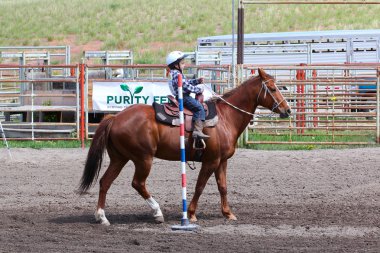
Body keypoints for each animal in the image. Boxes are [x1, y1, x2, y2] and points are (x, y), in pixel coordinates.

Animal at [78, 67, 290, 225]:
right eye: (272, 89)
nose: (287, 110)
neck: (225, 118)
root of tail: (115, 118)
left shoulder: (222, 161)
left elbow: (223, 186)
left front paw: (228, 213)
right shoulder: (211, 161)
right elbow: (200, 186)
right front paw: (192, 214)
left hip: (120, 158)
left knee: (105, 182)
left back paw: (102, 217)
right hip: (143, 158)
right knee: (138, 183)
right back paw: (157, 213)